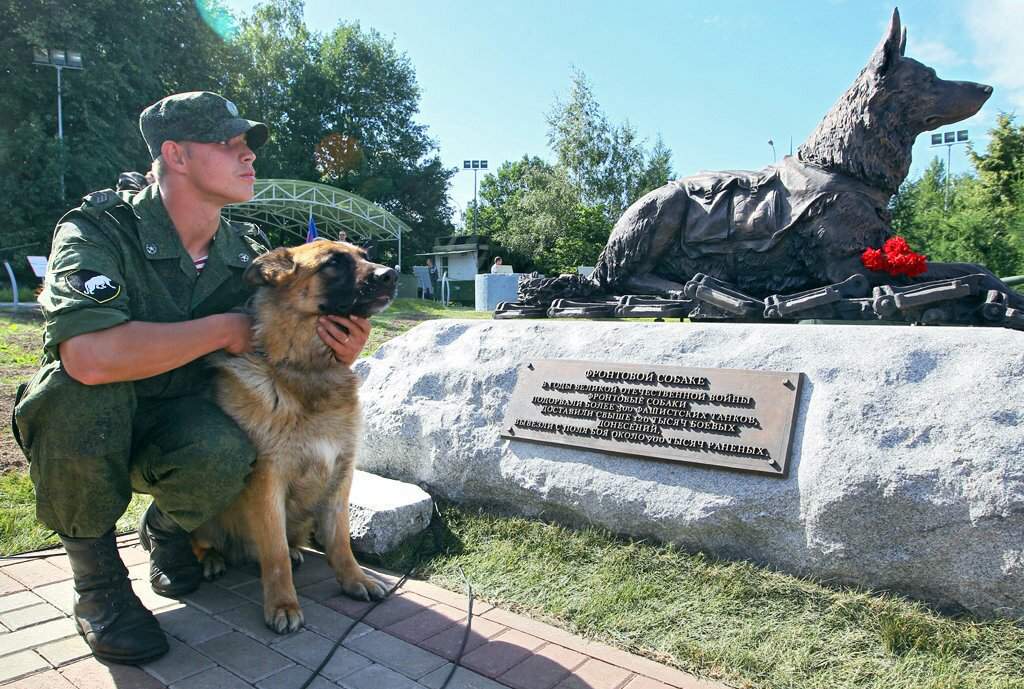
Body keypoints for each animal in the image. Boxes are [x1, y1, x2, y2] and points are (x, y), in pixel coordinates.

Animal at [190, 239, 397, 630]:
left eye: (364, 256)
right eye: (333, 263)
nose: (391, 274)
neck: (306, 369)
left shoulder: (341, 475)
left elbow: (340, 541)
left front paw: (355, 580)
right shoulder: (267, 482)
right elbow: (275, 556)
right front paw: (283, 604)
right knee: (201, 540)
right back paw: (210, 559)